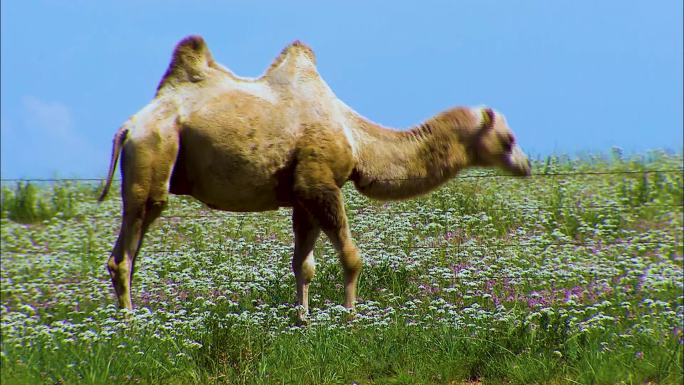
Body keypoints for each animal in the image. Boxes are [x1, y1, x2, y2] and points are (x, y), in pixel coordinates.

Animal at [99, 35, 532, 320]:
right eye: (509, 138)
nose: (526, 165)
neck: (356, 138)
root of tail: (127, 127)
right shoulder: (319, 181)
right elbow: (352, 257)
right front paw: (350, 318)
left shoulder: (300, 196)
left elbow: (303, 265)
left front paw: (303, 320)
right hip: (154, 151)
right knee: (126, 250)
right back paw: (129, 326)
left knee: (129, 253)